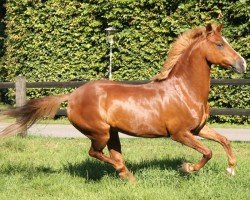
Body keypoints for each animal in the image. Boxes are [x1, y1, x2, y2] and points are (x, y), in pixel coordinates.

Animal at [0, 23, 246, 181]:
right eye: (219, 44)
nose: (242, 64)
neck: (183, 90)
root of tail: (72, 96)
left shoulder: (199, 128)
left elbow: (224, 140)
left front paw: (231, 170)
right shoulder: (180, 134)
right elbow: (208, 152)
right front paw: (187, 168)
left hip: (112, 133)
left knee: (112, 154)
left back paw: (129, 177)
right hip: (100, 133)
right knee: (96, 153)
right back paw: (125, 171)